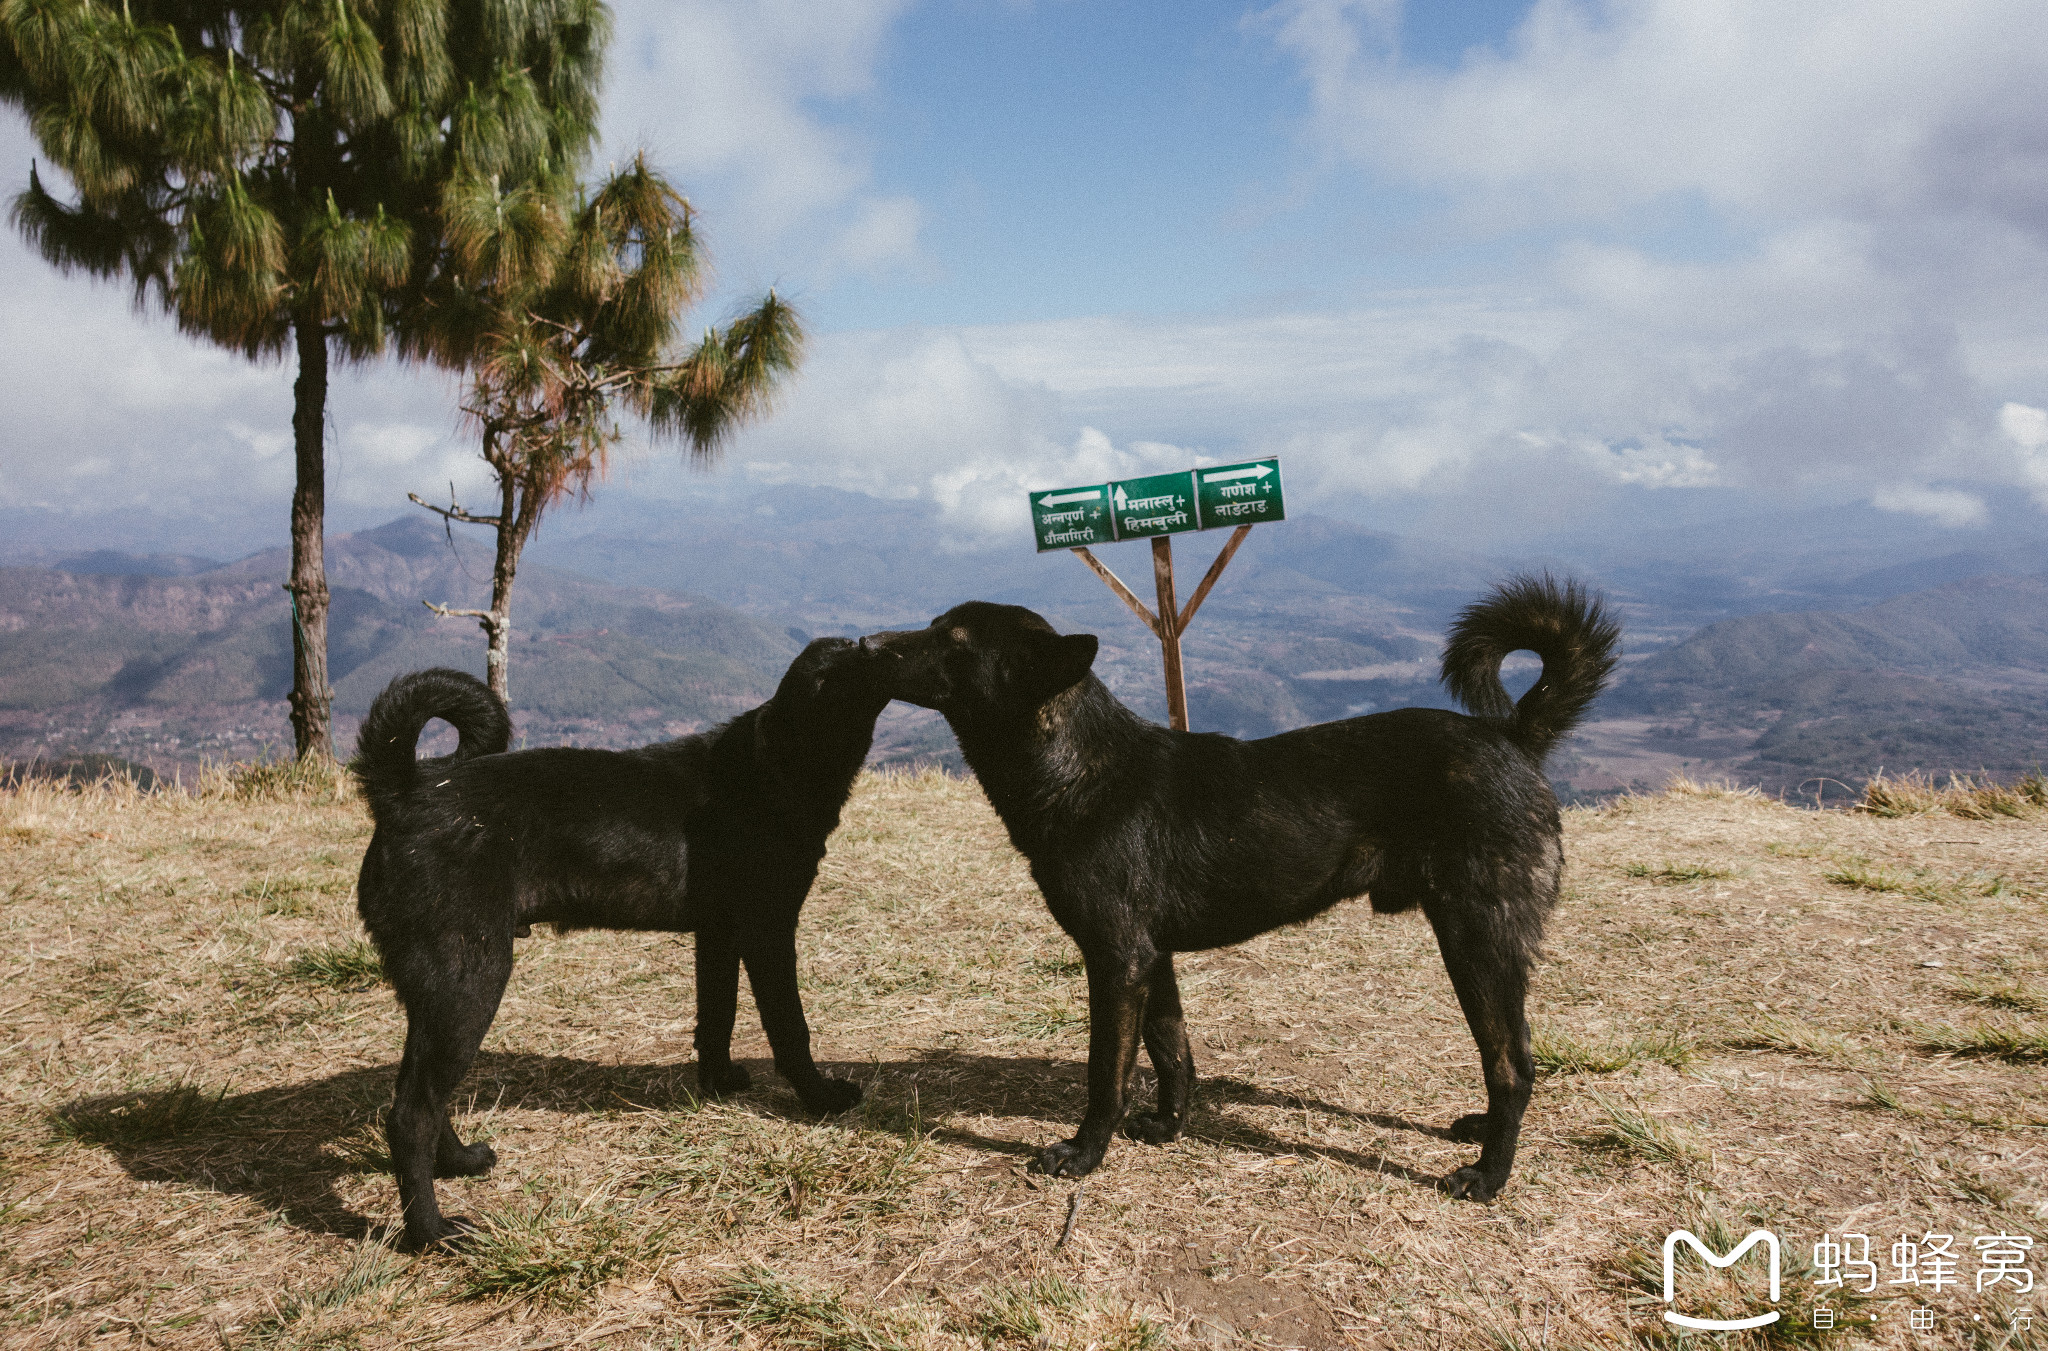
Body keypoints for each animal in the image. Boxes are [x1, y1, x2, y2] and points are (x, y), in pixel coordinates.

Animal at [356, 638, 884, 1252]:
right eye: (859, 657)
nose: (888, 641)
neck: (777, 757)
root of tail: (403, 793)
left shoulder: (719, 935)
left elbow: (717, 1015)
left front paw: (719, 1083)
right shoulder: (768, 931)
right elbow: (790, 1030)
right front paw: (820, 1099)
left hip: (436, 995)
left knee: (425, 1096)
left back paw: (460, 1163)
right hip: (470, 982)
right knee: (411, 1114)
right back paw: (431, 1232)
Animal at [860, 577, 1613, 1195]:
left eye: (952, 641)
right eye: (934, 624)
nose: (865, 643)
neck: (1082, 768)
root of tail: (1512, 736)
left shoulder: (1115, 960)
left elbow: (1106, 1071)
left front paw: (1084, 1154)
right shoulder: (1150, 959)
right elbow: (1172, 1053)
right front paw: (1167, 1129)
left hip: (1476, 940)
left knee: (1512, 1063)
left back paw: (1487, 1176)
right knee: (1510, 1054)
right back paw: (1480, 1132)